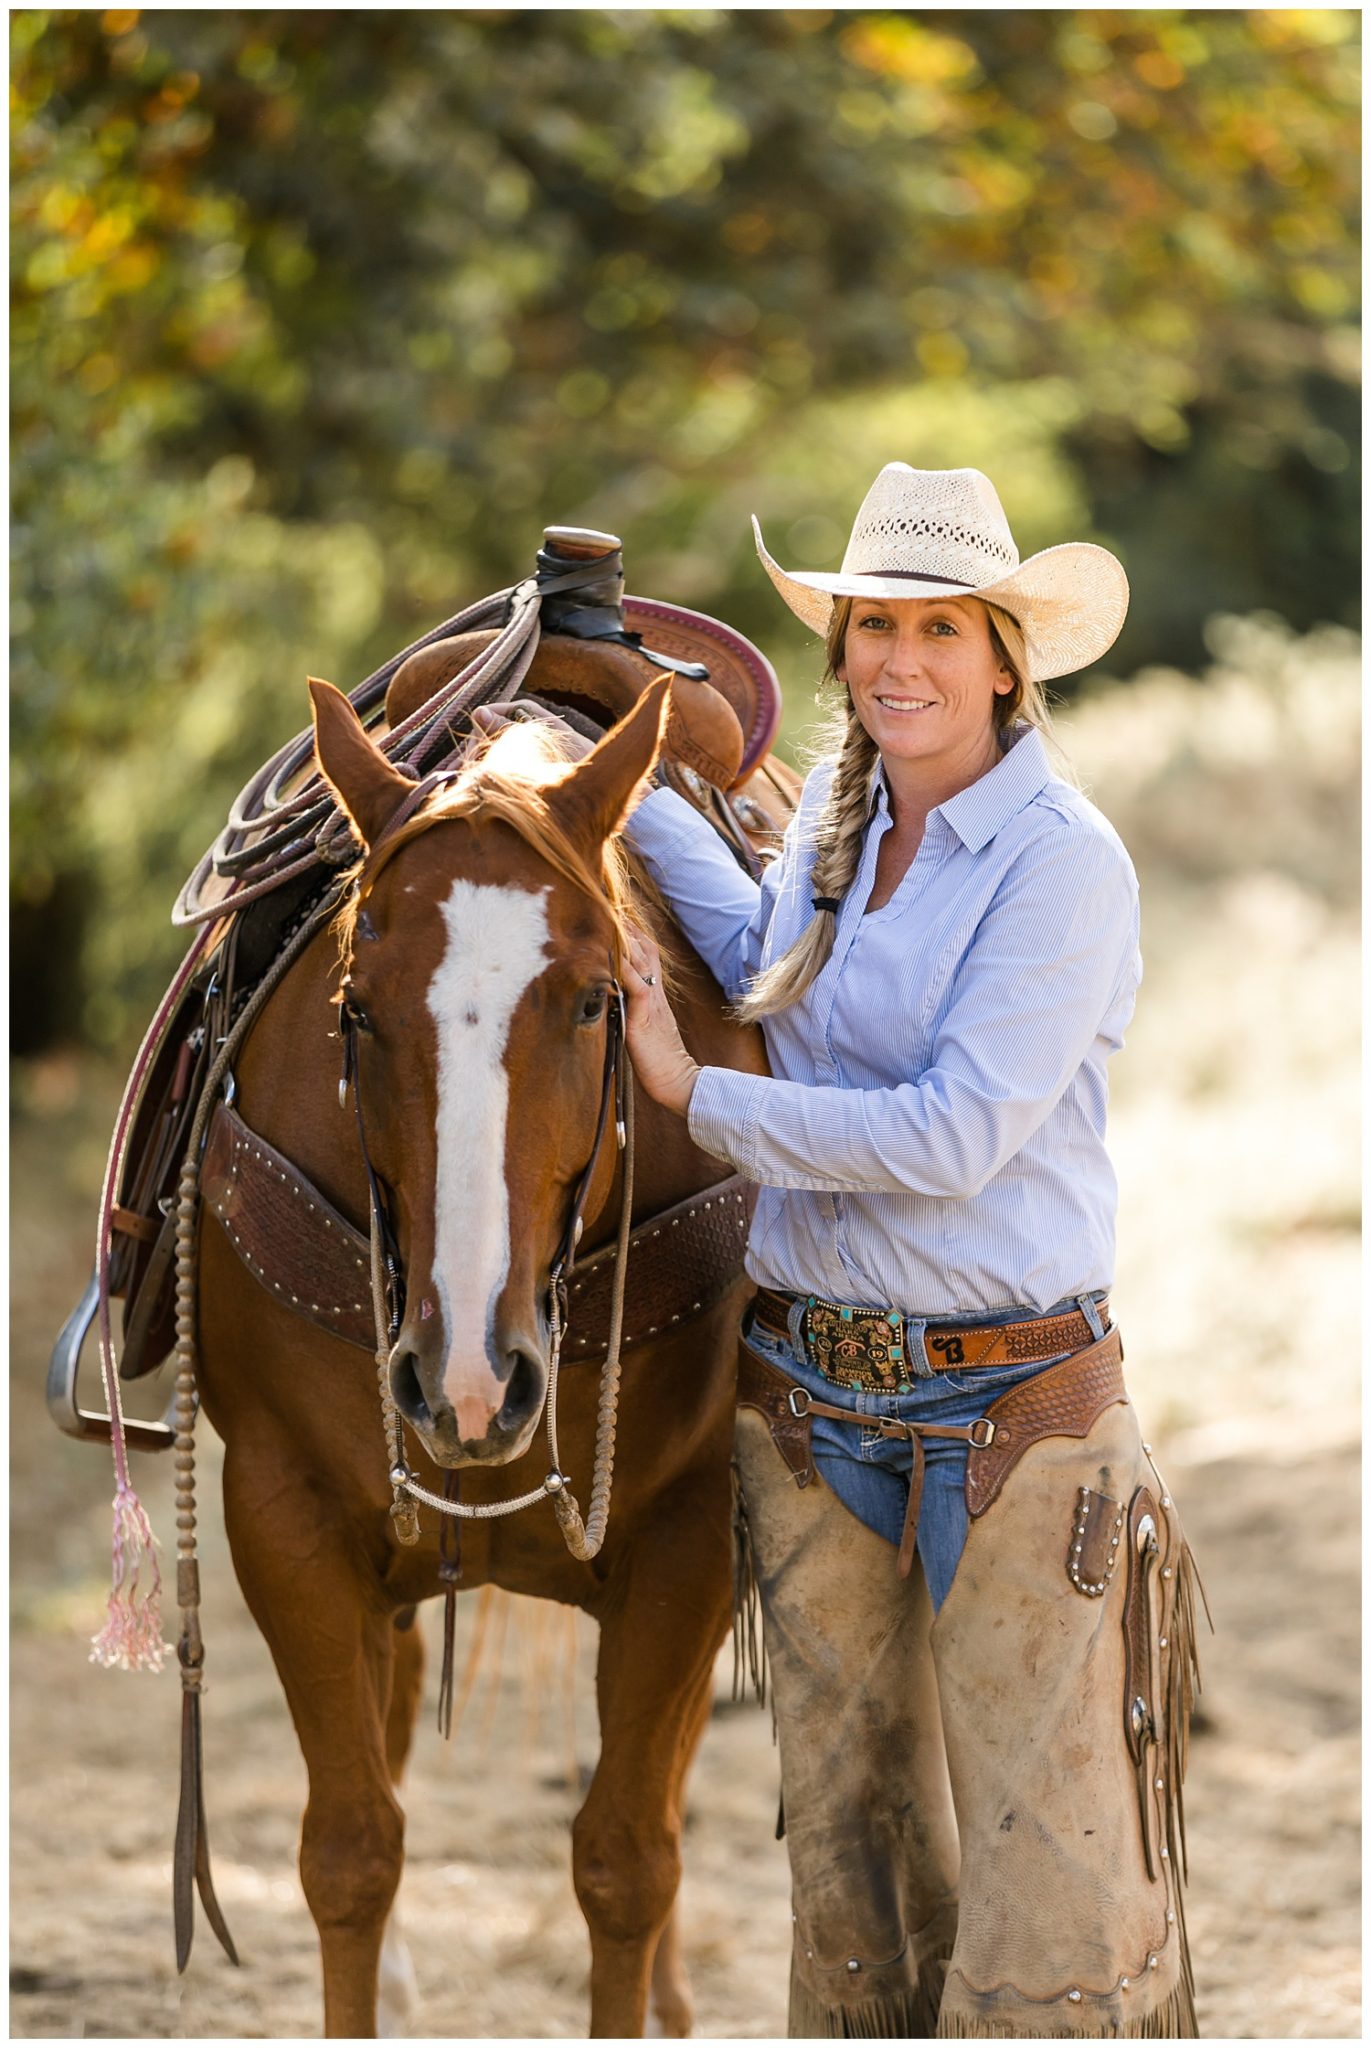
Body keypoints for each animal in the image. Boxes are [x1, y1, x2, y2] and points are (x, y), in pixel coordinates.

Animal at [193, 675, 770, 2031]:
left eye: (598, 999)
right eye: (355, 1009)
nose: (465, 1378)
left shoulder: (690, 1536)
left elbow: (627, 1858)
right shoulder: (283, 1515)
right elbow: (351, 1850)